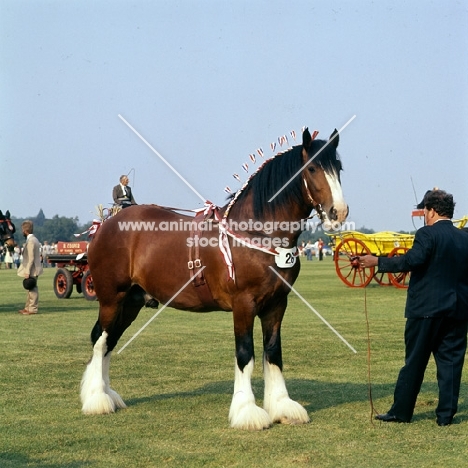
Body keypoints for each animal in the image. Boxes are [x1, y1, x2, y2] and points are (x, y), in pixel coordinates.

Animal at [82, 127, 350, 428]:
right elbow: (245, 354)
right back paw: (97, 399)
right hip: (111, 298)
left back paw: (107, 395)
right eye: (312, 168)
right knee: (100, 340)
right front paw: (247, 411)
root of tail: (106, 224)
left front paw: (282, 406)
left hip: (131, 303)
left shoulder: (277, 304)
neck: (256, 232)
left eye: (338, 167)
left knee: (109, 342)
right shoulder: (244, 304)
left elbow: (273, 353)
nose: (338, 212)